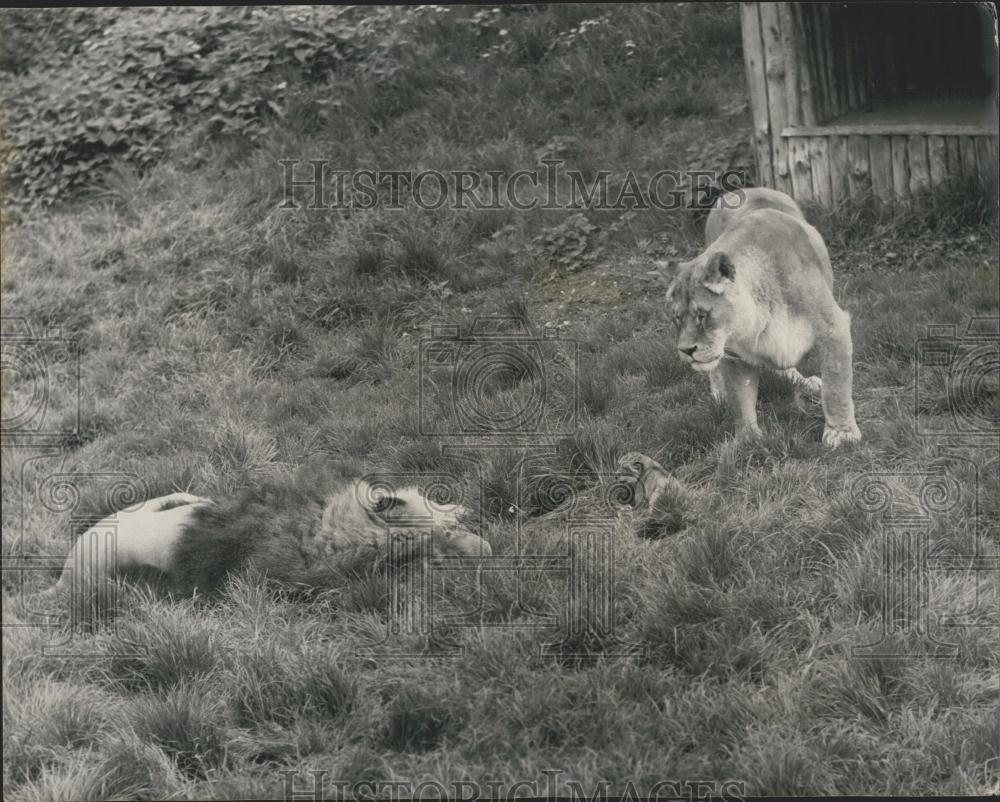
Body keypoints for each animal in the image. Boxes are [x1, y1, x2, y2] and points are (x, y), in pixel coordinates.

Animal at [662, 186, 861, 447]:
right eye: (677, 318)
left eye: (703, 316)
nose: (686, 350)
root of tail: (740, 189)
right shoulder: (733, 354)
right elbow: (740, 398)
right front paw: (747, 440)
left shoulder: (832, 328)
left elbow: (836, 387)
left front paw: (842, 433)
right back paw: (719, 392)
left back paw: (806, 383)